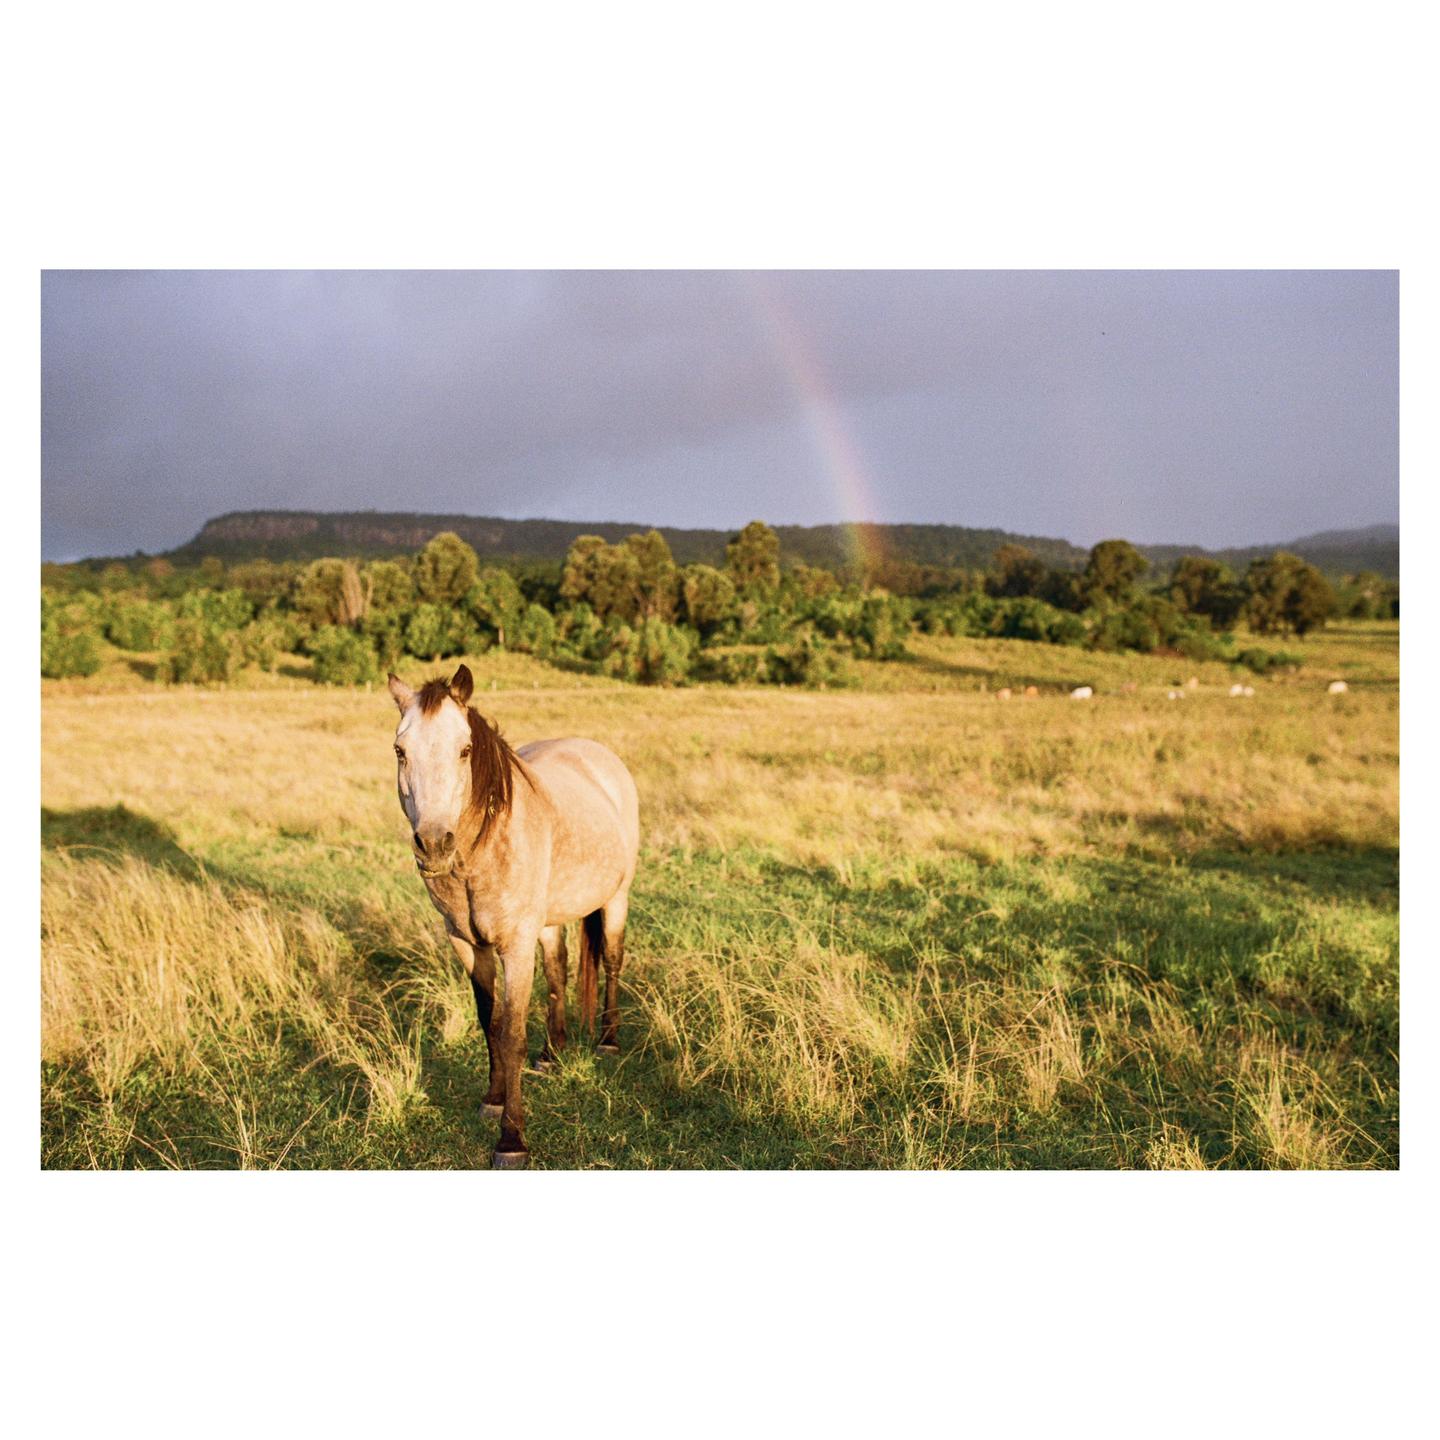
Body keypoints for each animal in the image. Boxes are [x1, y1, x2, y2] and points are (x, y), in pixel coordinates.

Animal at [387, 664, 640, 1169]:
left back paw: (608, 1040)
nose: (434, 844)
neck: (478, 853)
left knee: (612, 961)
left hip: (615, 899)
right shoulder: (466, 943)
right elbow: (491, 1022)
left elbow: (512, 1034)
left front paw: (511, 1139)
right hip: (548, 921)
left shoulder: (516, 946)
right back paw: (553, 1054)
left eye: (465, 749)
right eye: (400, 751)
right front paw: (493, 1099)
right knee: (559, 971)